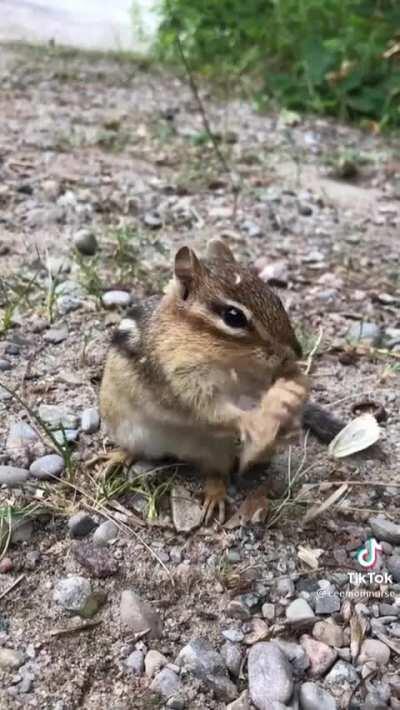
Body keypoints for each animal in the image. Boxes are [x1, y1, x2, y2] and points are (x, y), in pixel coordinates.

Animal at [99, 240, 344, 523]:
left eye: (277, 299)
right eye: (233, 316)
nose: (296, 352)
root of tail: (176, 450)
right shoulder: (179, 379)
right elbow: (209, 408)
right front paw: (251, 420)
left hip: (218, 450)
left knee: (216, 473)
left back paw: (215, 496)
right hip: (126, 427)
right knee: (135, 450)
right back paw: (117, 457)